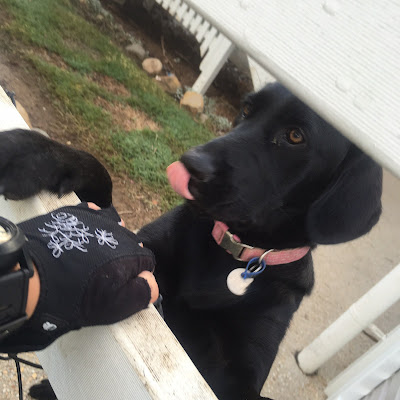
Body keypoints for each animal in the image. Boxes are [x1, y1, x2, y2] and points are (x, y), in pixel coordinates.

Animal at [0, 83, 382, 399]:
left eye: (294, 136)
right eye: (246, 109)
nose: (190, 163)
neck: (231, 258)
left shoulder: (238, 375)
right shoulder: (143, 248)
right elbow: (102, 184)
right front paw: (36, 155)